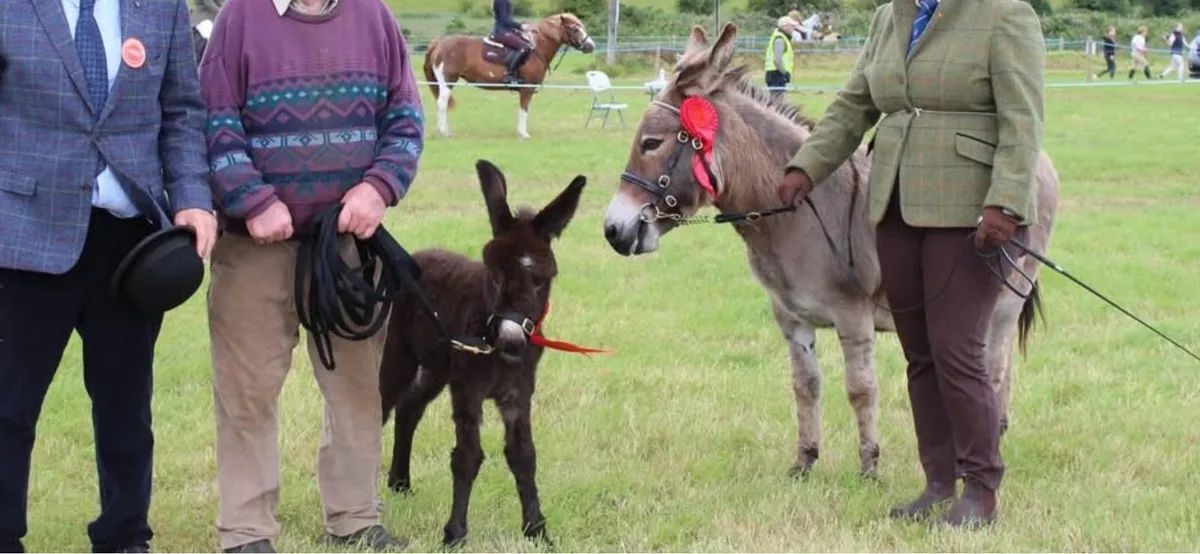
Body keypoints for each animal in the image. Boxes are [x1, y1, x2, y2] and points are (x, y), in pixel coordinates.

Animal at [379, 160, 586, 547]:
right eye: (494, 276)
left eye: (541, 280)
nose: (511, 341)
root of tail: (419, 255)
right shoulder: (468, 390)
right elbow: (467, 457)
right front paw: (455, 534)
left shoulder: (518, 394)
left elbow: (524, 456)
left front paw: (537, 530)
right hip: (400, 357)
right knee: (382, 406)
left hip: (436, 369)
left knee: (409, 407)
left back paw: (400, 482)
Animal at [422, 13, 596, 139]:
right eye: (575, 29)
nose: (590, 46)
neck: (536, 48)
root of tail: (439, 43)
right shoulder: (527, 89)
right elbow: (524, 109)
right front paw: (524, 134)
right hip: (448, 81)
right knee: (442, 103)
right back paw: (445, 132)